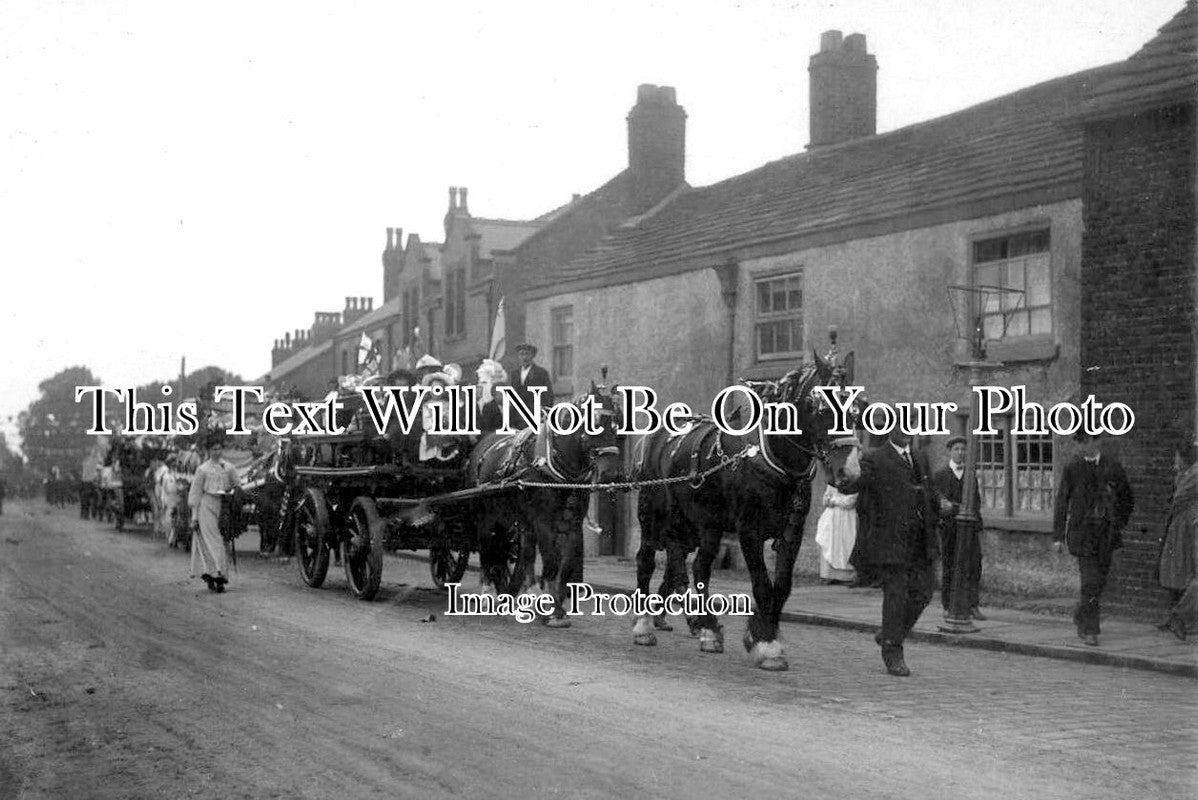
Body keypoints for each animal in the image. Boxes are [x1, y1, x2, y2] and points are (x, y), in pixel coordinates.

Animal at [467, 383, 622, 627]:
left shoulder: (571, 525)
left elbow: (564, 567)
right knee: (488, 551)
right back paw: (486, 594)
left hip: (517, 520)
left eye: (617, 423)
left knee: (521, 555)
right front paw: (553, 611)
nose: (611, 474)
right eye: (595, 423)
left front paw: (556, 607)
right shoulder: (543, 522)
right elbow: (551, 561)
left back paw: (520, 595)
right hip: (487, 517)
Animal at [632, 349, 857, 670]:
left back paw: (707, 629)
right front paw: (768, 646)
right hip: (652, 515)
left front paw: (760, 632)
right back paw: (644, 627)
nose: (849, 473)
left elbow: (781, 586)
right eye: (822, 409)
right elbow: (762, 583)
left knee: (695, 566)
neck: (772, 458)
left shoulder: (792, 532)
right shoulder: (749, 530)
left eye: (857, 410)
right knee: (646, 562)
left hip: (702, 525)